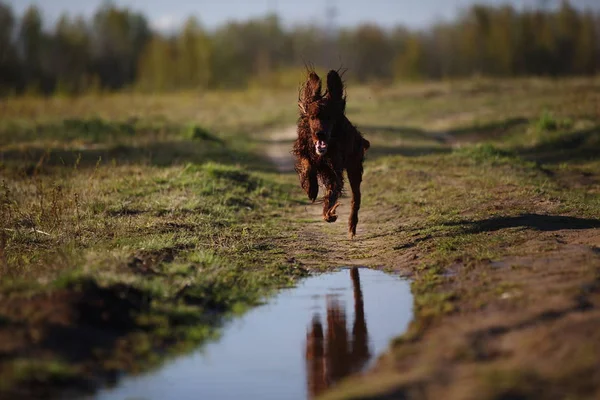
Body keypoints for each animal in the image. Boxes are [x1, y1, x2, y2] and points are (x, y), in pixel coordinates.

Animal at [292, 69, 370, 238]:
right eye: (312, 116)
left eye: (329, 117)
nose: (320, 133)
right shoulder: (304, 151)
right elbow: (307, 165)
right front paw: (311, 188)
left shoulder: (335, 170)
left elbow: (332, 193)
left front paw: (329, 214)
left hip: (354, 168)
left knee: (356, 199)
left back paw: (352, 226)